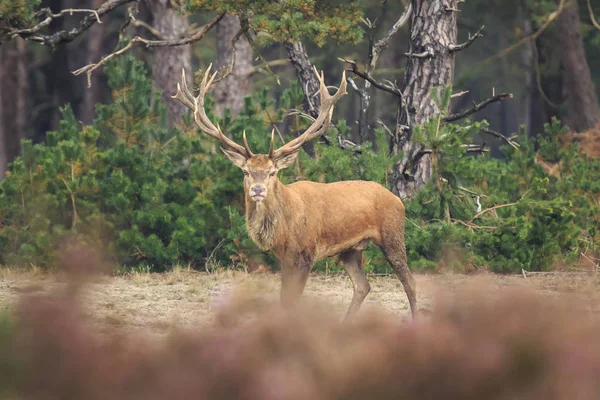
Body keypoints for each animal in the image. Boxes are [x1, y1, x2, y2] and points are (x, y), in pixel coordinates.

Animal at [173, 65, 418, 318]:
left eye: (272, 172)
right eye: (246, 171)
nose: (258, 190)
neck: (284, 229)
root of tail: (398, 199)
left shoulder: (305, 254)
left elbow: (292, 300)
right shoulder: (285, 258)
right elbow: (284, 299)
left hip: (393, 234)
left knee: (410, 281)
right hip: (350, 250)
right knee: (363, 285)